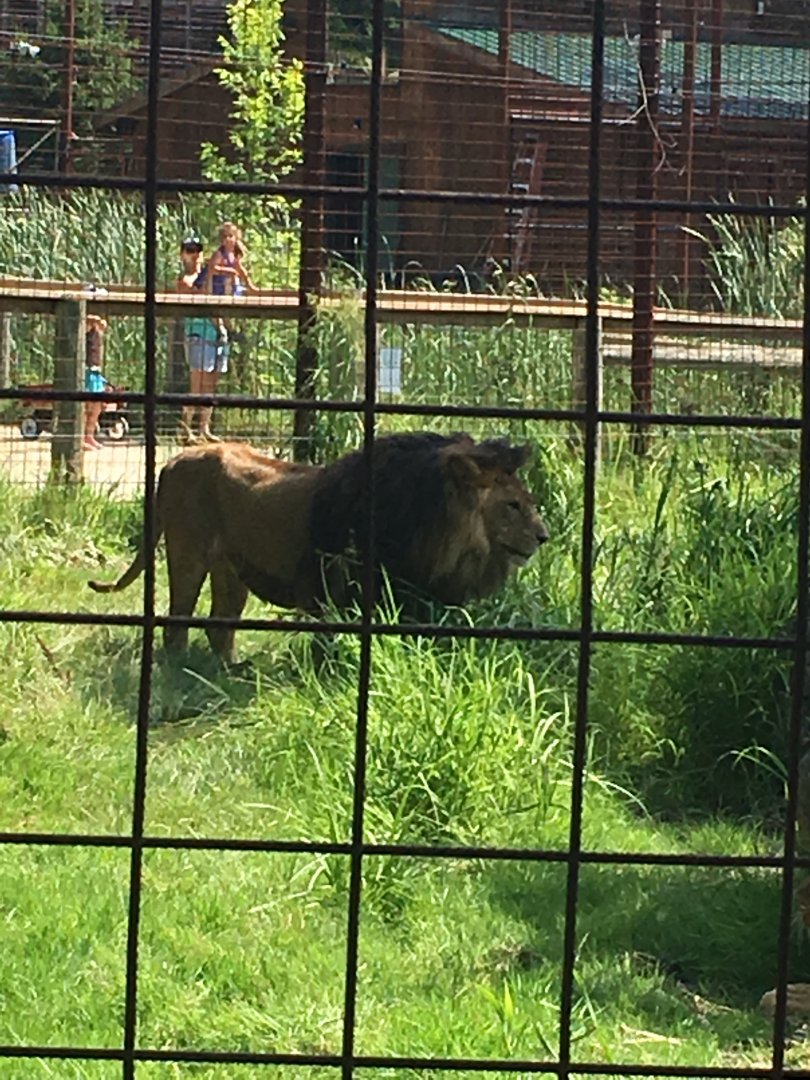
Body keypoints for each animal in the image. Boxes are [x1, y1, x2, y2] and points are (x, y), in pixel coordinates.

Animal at [88, 431, 549, 662]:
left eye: (529, 500)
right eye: (512, 505)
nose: (543, 536)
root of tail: (171, 461)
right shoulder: (342, 594)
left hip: (231, 570)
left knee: (220, 625)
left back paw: (230, 671)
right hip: (188, 553)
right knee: (176, 622)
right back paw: (180, 673)